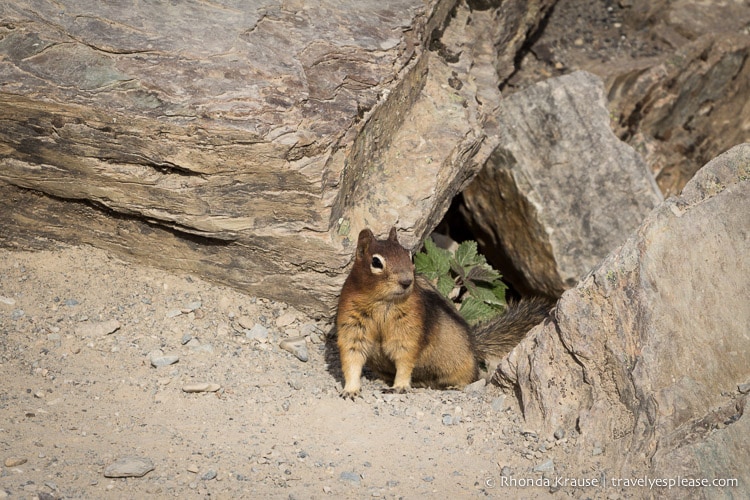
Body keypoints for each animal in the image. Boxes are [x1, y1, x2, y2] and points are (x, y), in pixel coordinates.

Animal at [334, 229, 552, 398]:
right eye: (376, 262)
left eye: (409, 256)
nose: (407, 281)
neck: (383, 303)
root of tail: (474, 345)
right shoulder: (352, 322)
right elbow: (352, 356)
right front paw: (350, 390)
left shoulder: (409, 329)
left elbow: (405, 357)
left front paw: (399, 386)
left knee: (470, 377)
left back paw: (454, 385)